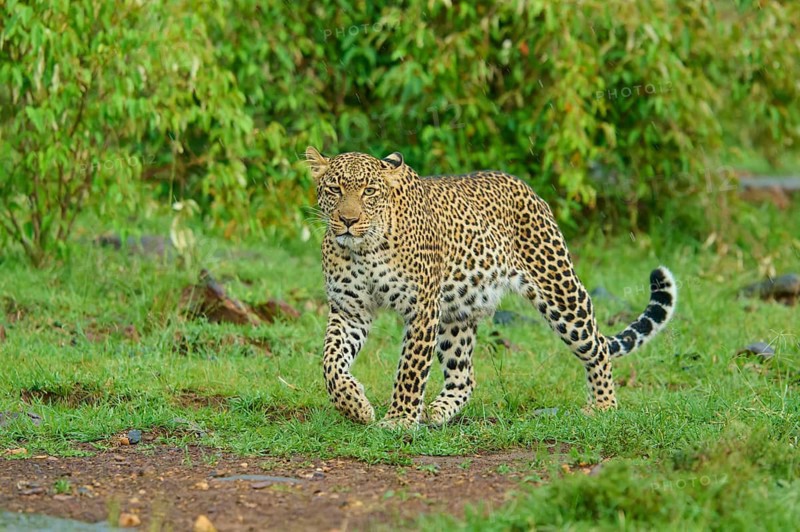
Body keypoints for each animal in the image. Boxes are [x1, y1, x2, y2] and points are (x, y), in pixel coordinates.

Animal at [306, 146, 677, 429]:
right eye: (334, 189)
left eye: (369, 191)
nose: (349, 220)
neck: (363, 250)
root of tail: (523, 185)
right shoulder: (350, 310)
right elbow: (330, 362)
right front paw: (355, 405)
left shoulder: (422, 309)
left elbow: (411, 369)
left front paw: (398, 420)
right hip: (457, 313)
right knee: (464, 375)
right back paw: (437, 413)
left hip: (559, 289)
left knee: (597, 347)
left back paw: (603, 406)